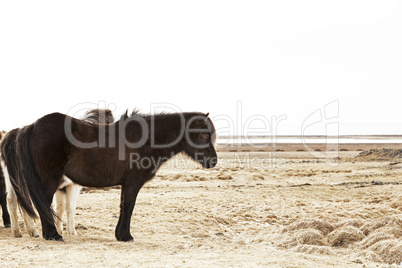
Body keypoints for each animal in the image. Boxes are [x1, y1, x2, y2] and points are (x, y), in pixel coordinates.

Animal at [0, 110, 218, 242]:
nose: (213, 161)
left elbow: (123, 206)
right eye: (204, 135)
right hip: (48, 179)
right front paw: (125, 235)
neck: (145, 139)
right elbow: (128, 207)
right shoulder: (132, 183)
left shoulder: (126, 184)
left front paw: (120, 234)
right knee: (42, 203)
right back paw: (52, 235)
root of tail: (31, 126)